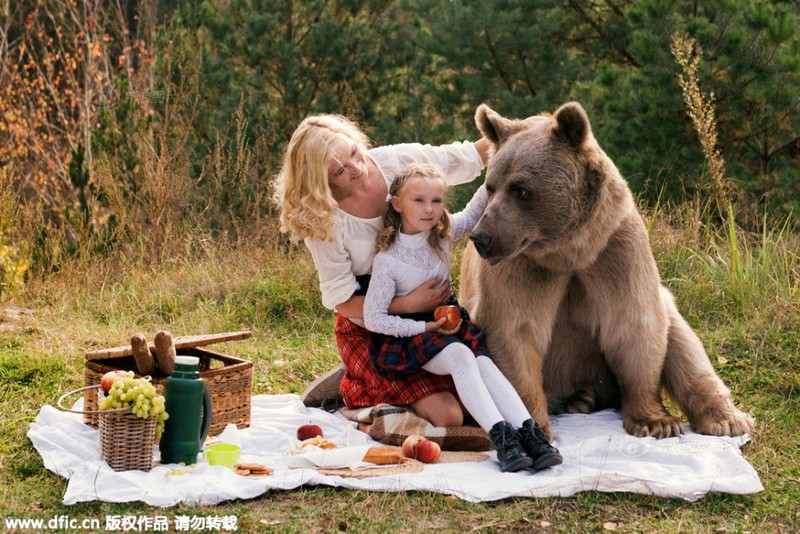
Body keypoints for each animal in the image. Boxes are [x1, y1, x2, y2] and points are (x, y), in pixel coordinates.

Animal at [460, 102, 752, 442]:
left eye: (521, 190)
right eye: (491, 187)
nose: (483, 238)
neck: (568, 252)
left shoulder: (614, 252)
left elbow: (634, 324)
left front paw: (656, 422)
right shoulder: (522, 269)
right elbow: (513, 332)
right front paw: (532, 425)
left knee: (684, 342)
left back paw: (726, 419)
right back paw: (579, 399)